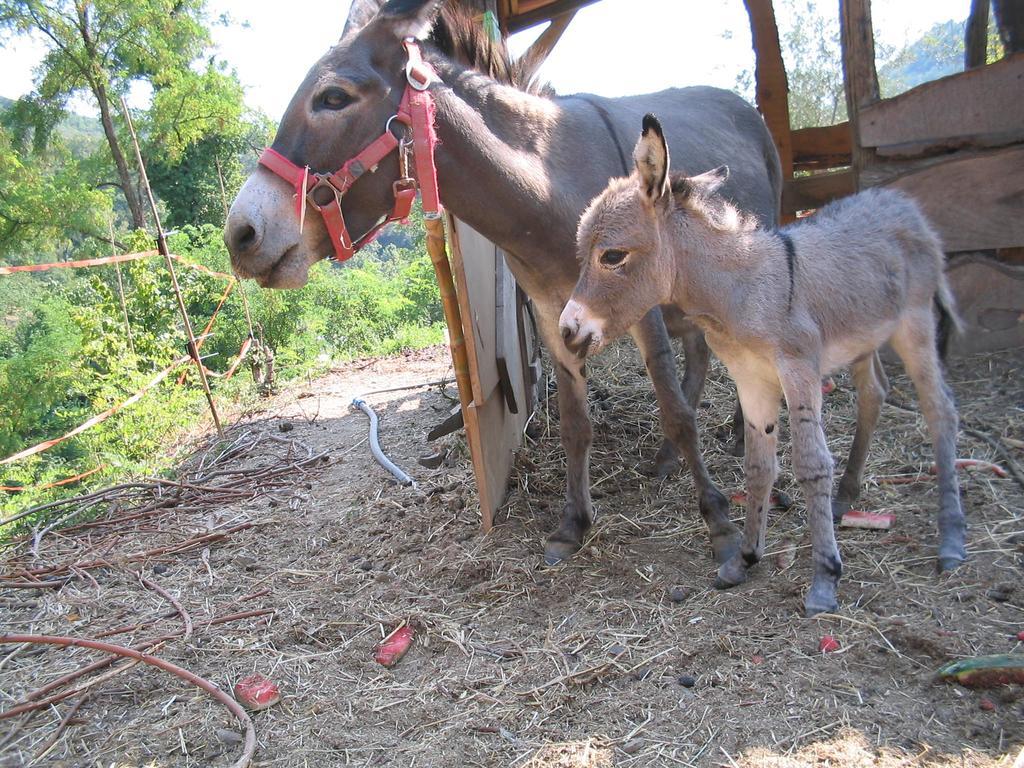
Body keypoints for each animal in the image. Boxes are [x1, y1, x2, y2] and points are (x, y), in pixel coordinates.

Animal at [561, 115, 966, 618]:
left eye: (612, 256)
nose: (566, 331)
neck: (742, 292)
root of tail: (901, 201)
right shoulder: (750, 378)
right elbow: (758, 467)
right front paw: (745, 559)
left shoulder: (798, 370)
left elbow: (811, 464)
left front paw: (824, 578)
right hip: (865, 336)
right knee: (874, 392)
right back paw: (845, 498)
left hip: (915, 325)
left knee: (940, 413)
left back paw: (951, 539)